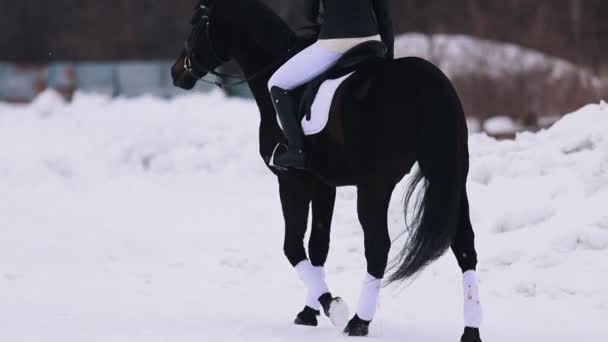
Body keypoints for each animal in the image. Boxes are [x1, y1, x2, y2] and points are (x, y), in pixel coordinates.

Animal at [172, 0, 484, 340]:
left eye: (196, 20)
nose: (177, 72)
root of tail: (432, 85)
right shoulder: (324, 183)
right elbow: (318, 245)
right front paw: (309, 312)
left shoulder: (291, 181)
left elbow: (293, 246)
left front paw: (332, 307)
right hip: (449, 178)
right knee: (464, 246)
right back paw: (471, 330)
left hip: (376, 185)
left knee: (378, 246)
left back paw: (358, 321)